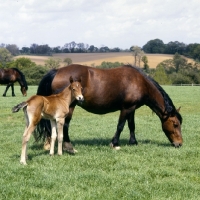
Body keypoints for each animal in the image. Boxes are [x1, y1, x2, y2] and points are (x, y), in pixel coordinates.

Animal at [36, 63, 183, 152]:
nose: (180, 143)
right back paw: (68, 146)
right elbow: (120, 126)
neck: (140, 82)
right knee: (65, 125)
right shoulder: (126, 108)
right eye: (175, 124)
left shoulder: (132, 108)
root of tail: (57, 71)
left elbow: (131, 125)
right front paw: (115, 143)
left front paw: (133, 142)